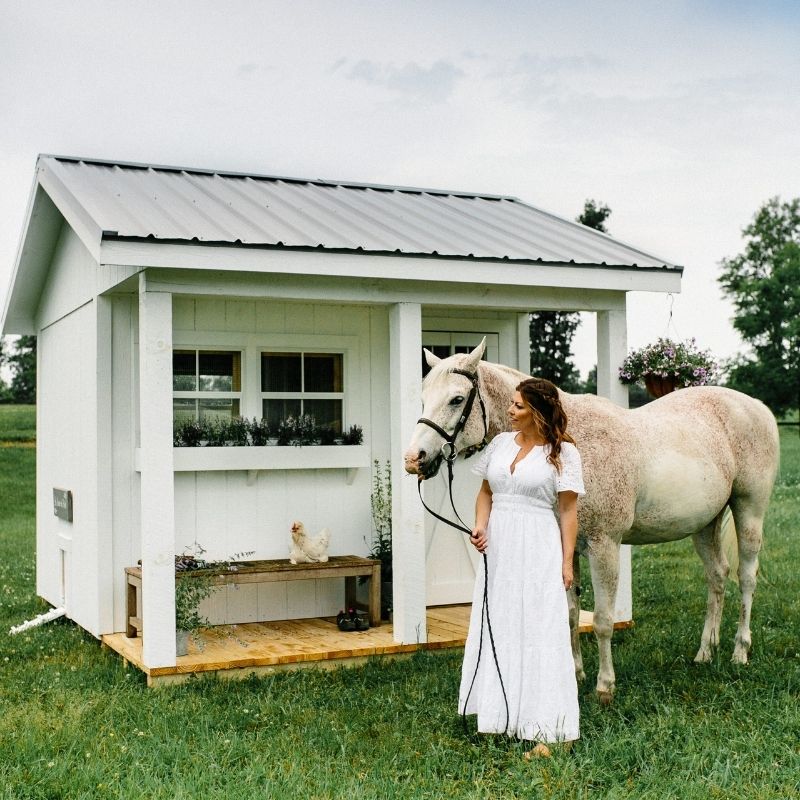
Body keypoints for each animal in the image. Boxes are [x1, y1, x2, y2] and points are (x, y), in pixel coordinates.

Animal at [404, 340, 780, 704]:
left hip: (749, 511)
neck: (568, 442)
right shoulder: (566, 548)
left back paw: (739, 652)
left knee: (746, 577)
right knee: (717, 576)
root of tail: (758, 407)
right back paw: (705, 652)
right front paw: (575, 675)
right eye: (423, 397)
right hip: (705, 524)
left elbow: (601, 620)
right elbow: (570, 614)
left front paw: (605, 686)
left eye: (456, 399)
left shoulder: (604, 546)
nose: (414, 459)